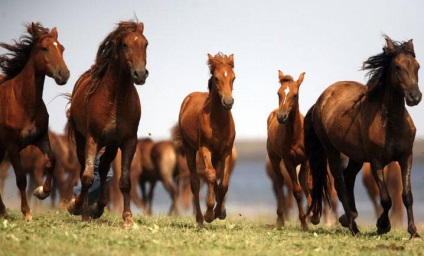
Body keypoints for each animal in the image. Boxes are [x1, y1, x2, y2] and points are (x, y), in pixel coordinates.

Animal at [0, 22, 68, 220]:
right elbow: (21, 179)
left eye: (62, 48)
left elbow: (52, 161)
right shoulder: (12, 145)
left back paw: (3, 211)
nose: (64, 74)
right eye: (44, 48)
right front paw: (27, 212)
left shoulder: (41, 138)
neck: (22, 102)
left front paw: (41, 191)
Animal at [66, 21, 149, 227]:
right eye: (124, 45)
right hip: (81, 140)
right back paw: (81, 206)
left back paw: (99, 207)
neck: (115, 99)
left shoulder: (128, 141)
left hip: (111, 145)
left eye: (146, 44)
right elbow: (87, 177)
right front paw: (82, 212)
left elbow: (125, 181)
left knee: (103, 168)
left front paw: (128, 219)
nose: (140, 74)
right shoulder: (93, 138)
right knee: (85, 169)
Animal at [174, 52, 237, 228]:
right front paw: (210, 213)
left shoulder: (226, 151)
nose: (228, 102)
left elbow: (223, 182)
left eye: (233, 78)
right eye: (216, 78)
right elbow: (210, 175)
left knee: (215, 177)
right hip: (190, 149)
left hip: (215, 155)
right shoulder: (205, 148)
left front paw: (220, 212)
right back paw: (200, 219)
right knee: (195, 182)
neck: (218, 121)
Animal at [266, 70, 310, 230]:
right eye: (278, 93)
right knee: (279, 181)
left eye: (295, 94)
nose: (282, 117)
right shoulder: (288, 160)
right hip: (274, 158)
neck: (295, 134)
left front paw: (314, 217)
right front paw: (304, 222)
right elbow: (296, 190)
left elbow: (307, 185)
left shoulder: (306, 159)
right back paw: (280, 219)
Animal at [304, 35, 420, 238]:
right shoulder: (376, 161)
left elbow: (407, 196)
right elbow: (386, 199)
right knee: (340, 184)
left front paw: (414, 232)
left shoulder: (406, 157)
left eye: (417, 66)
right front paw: (383, 225)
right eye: (397, 67)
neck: (391, 122)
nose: (415, 97)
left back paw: (348, 218)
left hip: (356, 157)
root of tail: (321, 100)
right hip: (331, 150)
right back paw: (353, 227)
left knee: (348, 177)